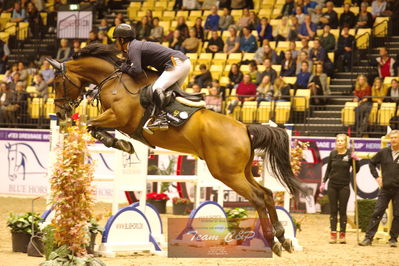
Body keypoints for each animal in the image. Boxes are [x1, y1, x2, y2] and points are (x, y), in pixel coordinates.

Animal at [46, 43, 304, 256]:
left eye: (57, 83)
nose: (60, 113)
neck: (114, 81)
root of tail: (244, 128)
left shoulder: (119, 118)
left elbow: (92, 125)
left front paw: (121, 143)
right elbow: (93, 127)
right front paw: (122, 143)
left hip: (227, 173)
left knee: (258, 197)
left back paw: (272, 242)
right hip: (243, 171)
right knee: (267, 194)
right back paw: (284, 239)